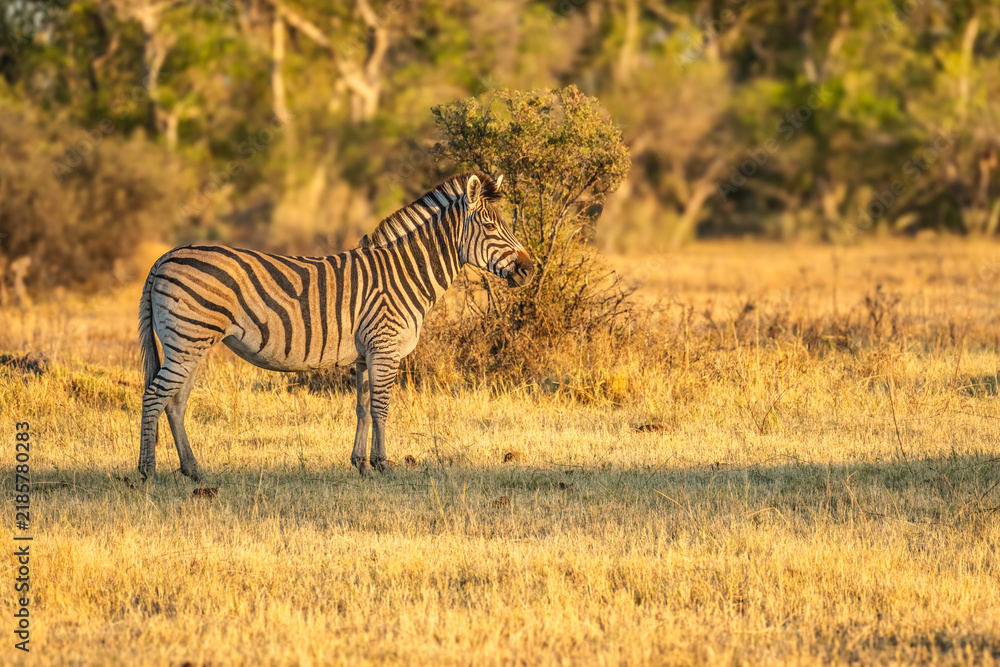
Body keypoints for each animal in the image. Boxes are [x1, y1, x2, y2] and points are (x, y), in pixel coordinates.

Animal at [137, 172, 534, 480]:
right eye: (489, 226)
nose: (529, 270)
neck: (404, 274)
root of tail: (163, 258)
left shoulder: (365, 353)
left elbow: (362, 406)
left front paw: (361, 464)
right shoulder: (385, 348)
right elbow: (381, 407)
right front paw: (383, 464)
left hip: (190, 343)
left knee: (175, 401)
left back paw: (193, 470)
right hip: (188, 339)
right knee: (155, 395)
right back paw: (147, 471)